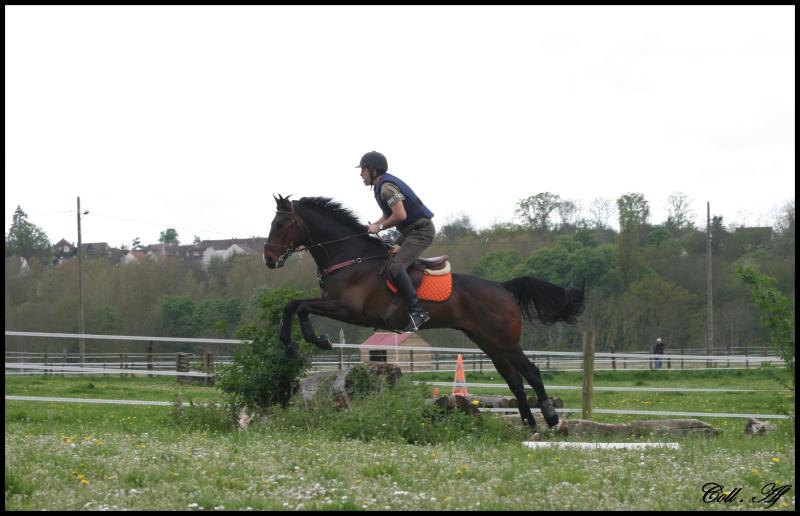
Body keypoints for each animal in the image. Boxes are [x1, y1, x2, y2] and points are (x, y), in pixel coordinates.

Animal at [263, 194, 585, 436]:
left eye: (279, 224)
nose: (268, 258)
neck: (350, 256)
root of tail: (503, 288)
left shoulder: (349, 309)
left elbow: (300, 307)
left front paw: (313, 340)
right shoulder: (335, 304)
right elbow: (293, 305)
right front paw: (294, 342)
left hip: (505, 341)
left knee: (532, 372)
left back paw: (552, 419)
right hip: (488, 343)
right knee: (514, 379)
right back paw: (530, 423)